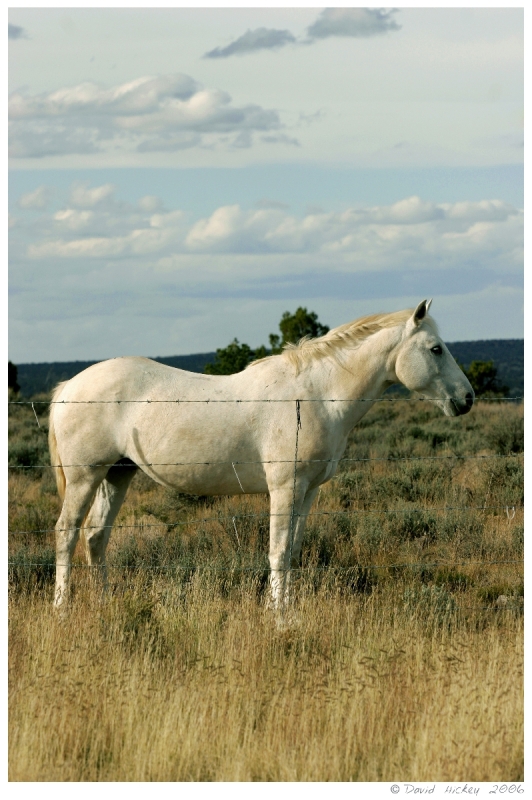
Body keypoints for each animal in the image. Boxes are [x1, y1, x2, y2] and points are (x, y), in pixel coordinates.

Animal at [48, 299, 474, 609]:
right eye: (436, 349)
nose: (467, 399)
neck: (317, 396)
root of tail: (70, 385)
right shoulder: (285, 488)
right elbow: (278, 551)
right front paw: (278, 616)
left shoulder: (308, 491)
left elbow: (293, 552)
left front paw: (288, 611)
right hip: (85, 476)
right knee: (67, 532)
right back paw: (62, 607)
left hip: (117, 474)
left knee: (96, 537)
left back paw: (103, 603)